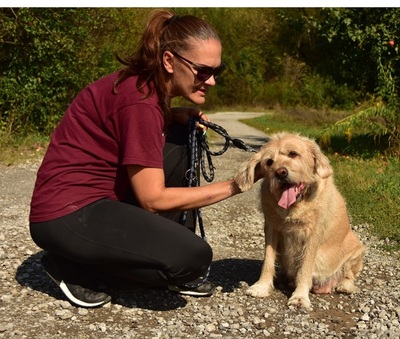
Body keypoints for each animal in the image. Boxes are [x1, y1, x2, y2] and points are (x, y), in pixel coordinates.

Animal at [234, 132, 366, 310]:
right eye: (269, 162)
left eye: (293, 154)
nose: (280, 172)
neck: (294, 206)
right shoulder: (271, 228)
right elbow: (268, 261)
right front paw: (261, 286)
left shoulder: (312, 235)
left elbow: (305, 267)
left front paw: (300, 297)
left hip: (356, 251)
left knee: (348, 276)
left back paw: (345, 286)